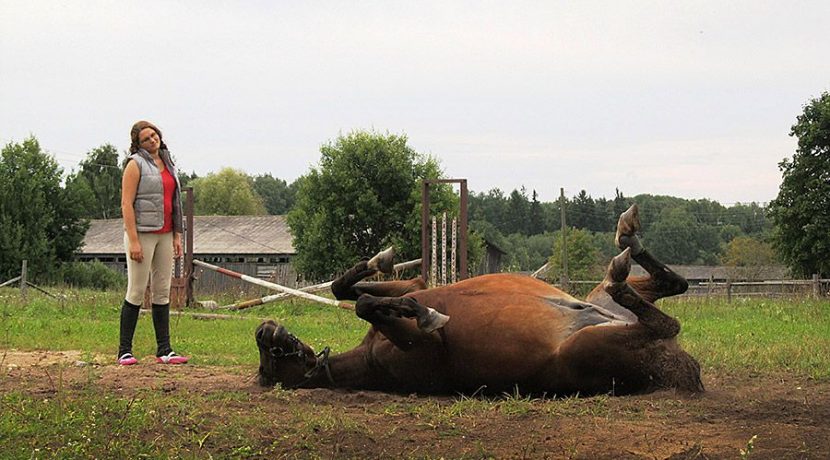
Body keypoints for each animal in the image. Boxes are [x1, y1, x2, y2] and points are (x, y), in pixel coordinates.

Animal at [254, 205, 704, 396]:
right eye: (271, 363)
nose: (265, 329)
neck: (368, 360)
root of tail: (688, 369)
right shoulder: (423, 345)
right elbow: (371, 306)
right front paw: (427, 314)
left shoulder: (412, 286)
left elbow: (348, 291)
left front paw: (381, 262)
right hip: (593, 343)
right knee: (666, 320)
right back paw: (620, 273)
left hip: (598, 304)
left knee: (673, 283)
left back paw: (628, 237)